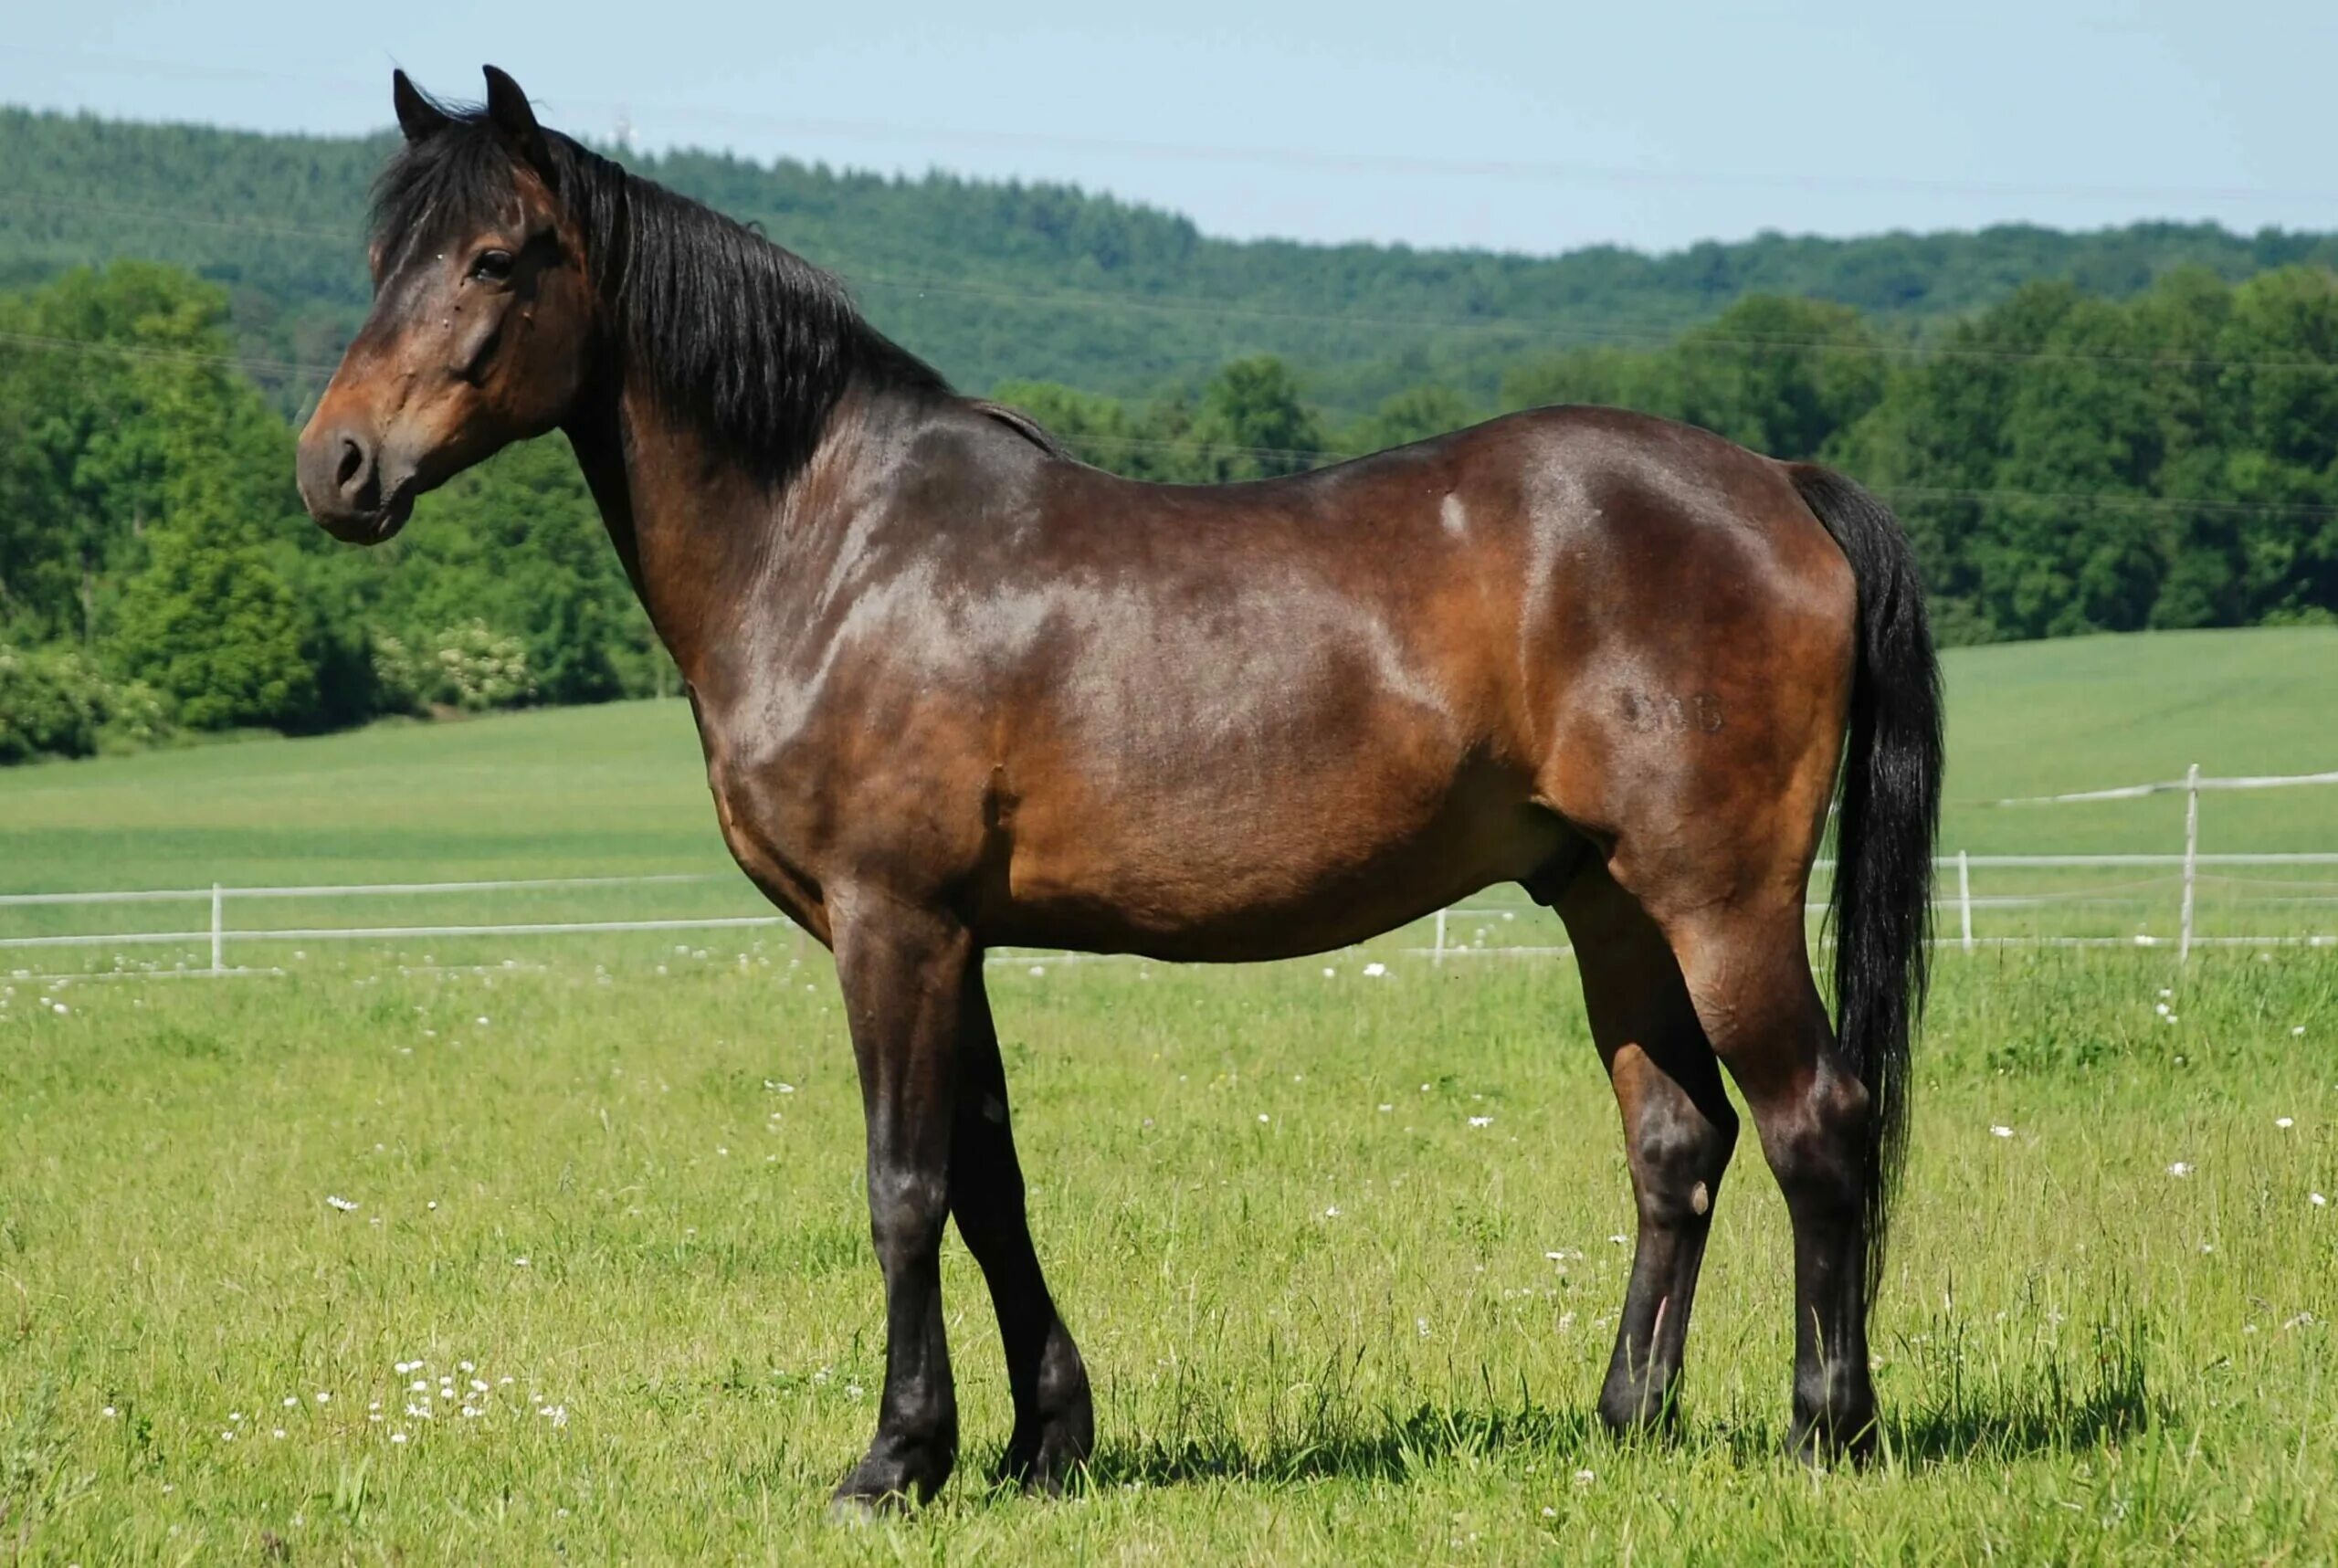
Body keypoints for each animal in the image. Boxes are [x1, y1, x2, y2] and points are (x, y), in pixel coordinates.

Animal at [301, 67, 1944, 1514]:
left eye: (496, 256)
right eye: (382, 259)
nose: (337, 466)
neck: (841, 545)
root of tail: (1781, 483)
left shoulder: (890, 923)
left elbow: (906, 1186)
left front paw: (893, 1461)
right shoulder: (954, 936)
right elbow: (990, 1181)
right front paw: (1041, 1443)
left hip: (1719, 900)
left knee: (1814, 1121)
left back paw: (1828, 1431)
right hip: (1606, 899)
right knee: (1679, 1143)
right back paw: (1628, 1420)